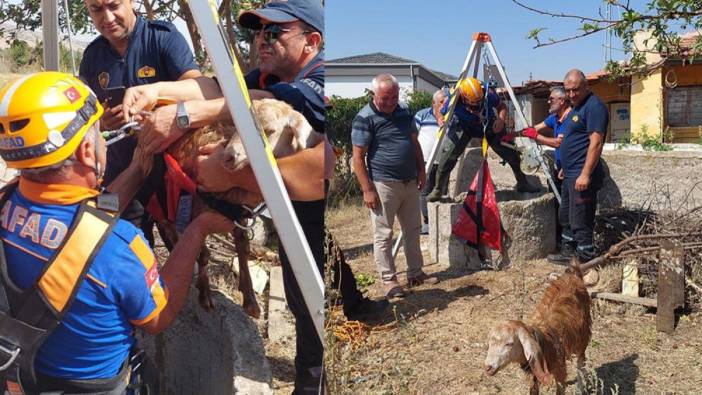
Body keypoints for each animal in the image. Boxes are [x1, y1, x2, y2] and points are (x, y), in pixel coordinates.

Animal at [484, 258, 592, 394]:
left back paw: (580, 388)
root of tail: (574, 274)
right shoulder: (534, 374)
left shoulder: (560, 370)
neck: (544, 341)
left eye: (509, 343)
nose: (488, 367)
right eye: (489, 343)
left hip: (583, 336)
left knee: (581, 362)